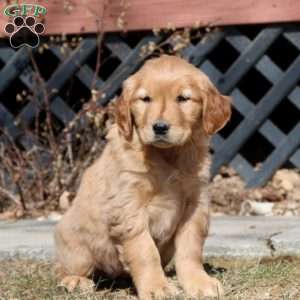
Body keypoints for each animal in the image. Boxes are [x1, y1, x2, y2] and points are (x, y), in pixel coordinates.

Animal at [54, 55, 232, 298]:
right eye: (145, 99)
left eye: (183, 98)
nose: (160, 127)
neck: (168, 157)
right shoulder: (129, 207)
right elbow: (145, 251)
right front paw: (157, 288)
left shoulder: (195, 204)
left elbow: (190, 248)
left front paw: (199, 282)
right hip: (76, 244)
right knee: (64, 268)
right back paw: (75, 281)